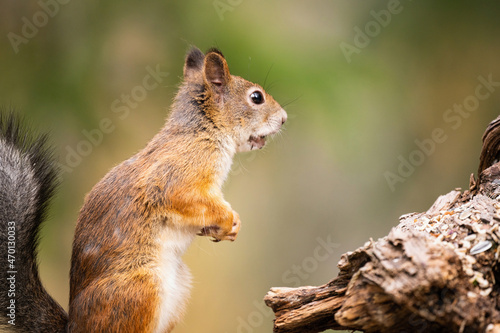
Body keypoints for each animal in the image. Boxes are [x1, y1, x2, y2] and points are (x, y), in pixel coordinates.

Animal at [0, 47, 288, 332]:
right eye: (256, 97)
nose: (284, 118)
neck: (203, 131)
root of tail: (74, 327)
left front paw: (229, 227)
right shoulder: (175, 178)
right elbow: (186, 200)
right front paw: (228, 219)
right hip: (141, 289)